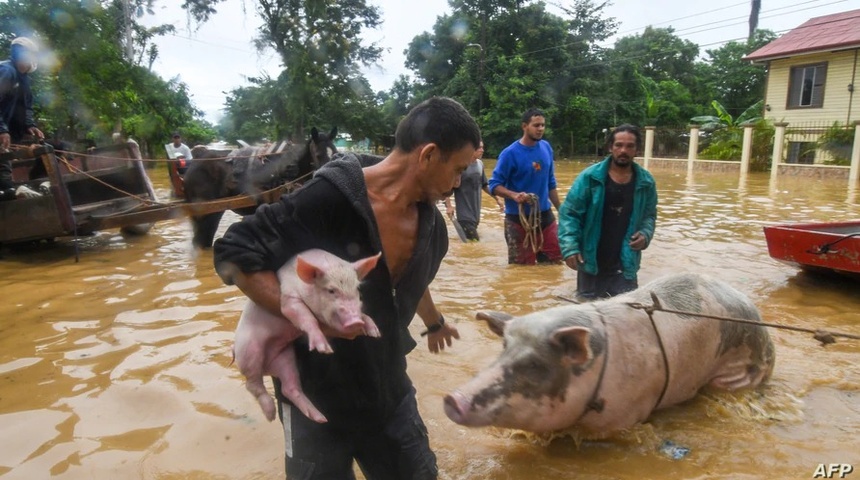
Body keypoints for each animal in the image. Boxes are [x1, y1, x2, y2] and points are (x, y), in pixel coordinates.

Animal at [235, 249, 382, 422]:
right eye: (331, 290)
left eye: (357, 288)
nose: (355, 321)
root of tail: (267, 368)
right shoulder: (288, 299)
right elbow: (306, 317)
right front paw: (324, 349)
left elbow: (364, 314)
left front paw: (374, 333)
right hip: (248, 351)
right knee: (252, 384)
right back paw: (271, 416)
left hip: (285, 357)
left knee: (289, 388)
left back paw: (320, 418)